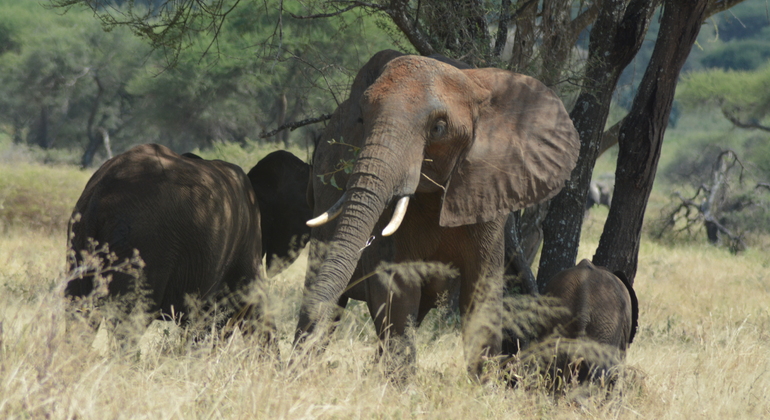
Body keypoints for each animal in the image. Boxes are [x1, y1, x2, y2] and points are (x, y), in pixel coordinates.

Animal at [63, 144, 308, 342]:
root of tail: (98, 198)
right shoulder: (247, 238)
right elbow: (252, 303)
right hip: (141, 245)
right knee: (129, 320)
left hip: (81, 239)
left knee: (78, 313)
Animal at [294, 50, 576, 378]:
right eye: (362, 118)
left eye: (438, 128)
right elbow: (397, 288)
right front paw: (399, 385)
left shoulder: (489, 193)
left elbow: (481, 294)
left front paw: (482, 384)